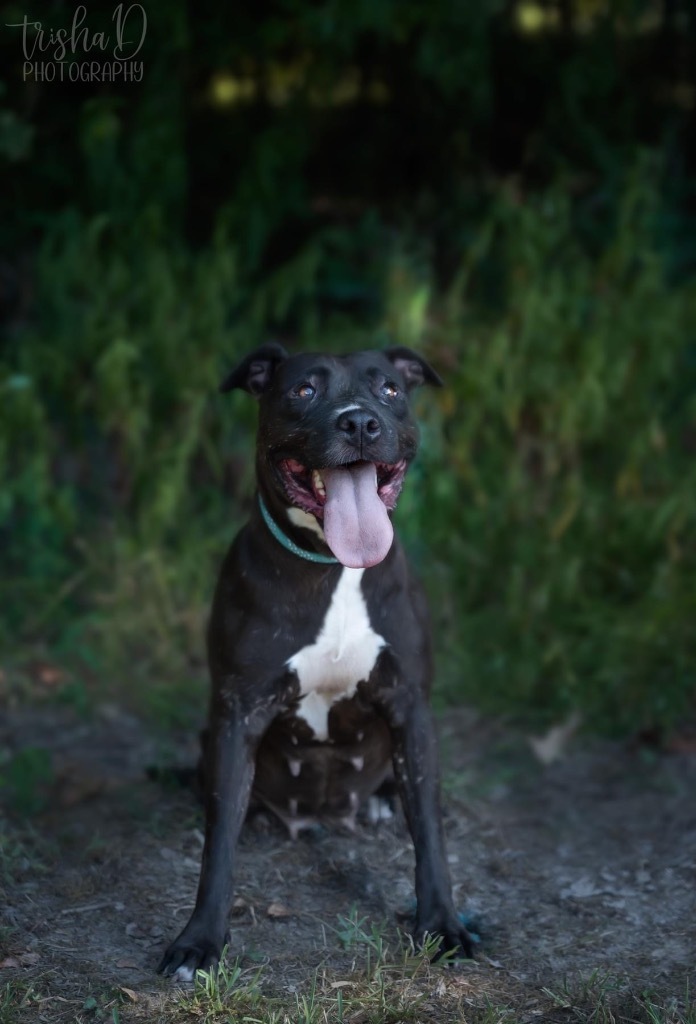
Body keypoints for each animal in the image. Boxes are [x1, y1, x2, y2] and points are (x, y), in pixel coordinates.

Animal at [157, 346, 472, 983]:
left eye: (389, 389)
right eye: (304, 391)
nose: (359, 422)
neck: (333, 565)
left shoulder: (412, 707)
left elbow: (430, 832)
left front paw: (442, 924)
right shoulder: (238, 712)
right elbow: (217, 847)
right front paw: (199, 940)